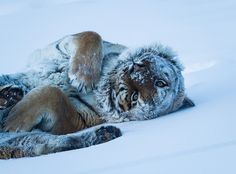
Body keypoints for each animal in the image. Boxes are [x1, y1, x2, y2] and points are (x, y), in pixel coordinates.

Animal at [0, 31, 194, 159]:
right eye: (160, 82)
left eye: (134, 97)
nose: (133, 77)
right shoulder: (59, 45)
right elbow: (92, 35)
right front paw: (82, 77)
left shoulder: (71, 119)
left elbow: (54, 93)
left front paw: (15, 120)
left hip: (21, 140)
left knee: (45, 145)